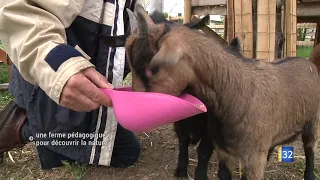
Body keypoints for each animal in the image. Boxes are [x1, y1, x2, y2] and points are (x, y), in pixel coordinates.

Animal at [124, 4, 320, 180]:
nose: (135, 108)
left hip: (312, 123)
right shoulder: (225, 151)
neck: (236, 93)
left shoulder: (253, 158)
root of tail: (307, 62)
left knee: (310, 151)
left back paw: (310, 175)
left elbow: (204, 152)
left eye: (152, 69)